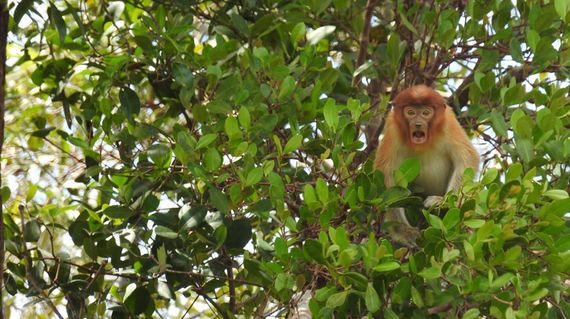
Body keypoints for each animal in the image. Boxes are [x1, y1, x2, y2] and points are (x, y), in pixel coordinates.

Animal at [372, 85, 480, 245]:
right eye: (410, 112)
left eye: (426, 113)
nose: (418, 124)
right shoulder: (393, 127)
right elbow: (386, 173)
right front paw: (403, 232)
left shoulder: (448, 122)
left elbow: (466, 158)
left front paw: (443, 202)